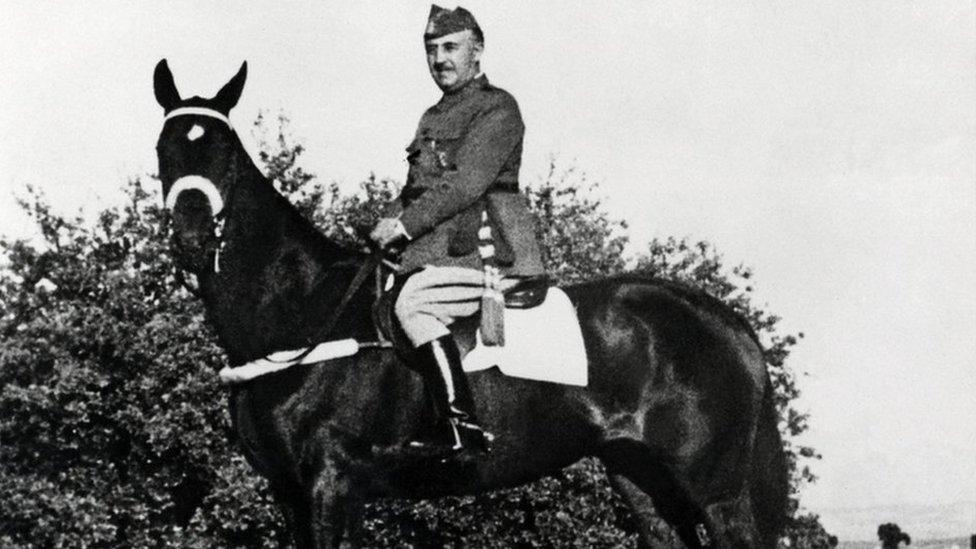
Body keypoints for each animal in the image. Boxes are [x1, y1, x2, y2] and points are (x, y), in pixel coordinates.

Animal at [154, 57, 792, 544]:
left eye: (225, 152)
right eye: (165, 150)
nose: (191, 238)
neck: (301, 309)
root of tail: (727, 323)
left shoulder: (329, 484)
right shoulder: (295, 492)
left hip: (717, 492)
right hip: (642, 481)